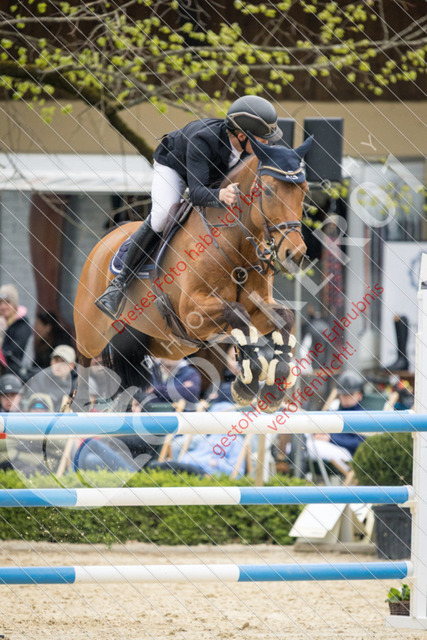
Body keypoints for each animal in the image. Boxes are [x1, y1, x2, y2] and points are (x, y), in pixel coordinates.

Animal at [73, 136, 312, 412]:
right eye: (270, 190)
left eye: (304, 190)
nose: (295, 254)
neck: (236, 248)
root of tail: (104, 242)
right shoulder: (192, 312)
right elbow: (237, 313)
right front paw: (246, 385)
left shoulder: (258, 306)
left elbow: (284, 317)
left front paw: (273, 389)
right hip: (91, 335)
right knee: (84, 363)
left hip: (167, 345)